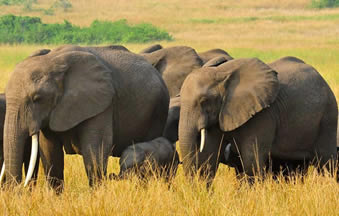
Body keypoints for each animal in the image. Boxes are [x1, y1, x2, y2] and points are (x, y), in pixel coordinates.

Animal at [1, 44, 170, 192]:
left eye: (37, 98)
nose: (17, 192)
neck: (53, 60)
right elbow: (50, 152)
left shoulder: (102, 103)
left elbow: (94, 150)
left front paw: (97, 196)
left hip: (157, 111)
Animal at [179, 55, 338, 184]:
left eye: (203, 101)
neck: (221, 73)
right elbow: (209, 156)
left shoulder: (263, 114)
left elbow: (251, 159)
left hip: (328, 117)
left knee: (327, 162)